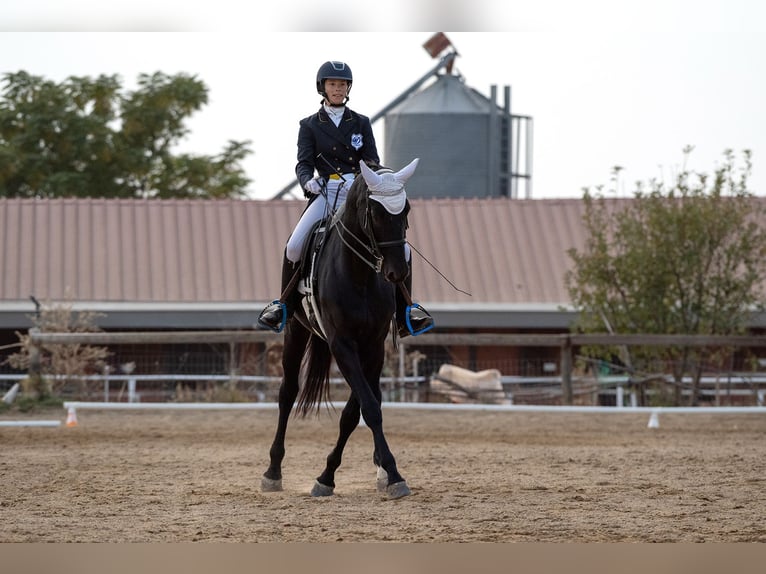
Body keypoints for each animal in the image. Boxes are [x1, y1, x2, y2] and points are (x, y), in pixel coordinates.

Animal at [262, 156, 420, 500]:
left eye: (406, 210)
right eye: (375, 212)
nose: (397, 273)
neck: (359, 275)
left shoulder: (373, 346)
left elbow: (358, 409)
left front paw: (382, 471)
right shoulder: (342, 344)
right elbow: (368, 408)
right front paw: (389, 474)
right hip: (296, 331)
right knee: (287, 393)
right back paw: (272, 471)